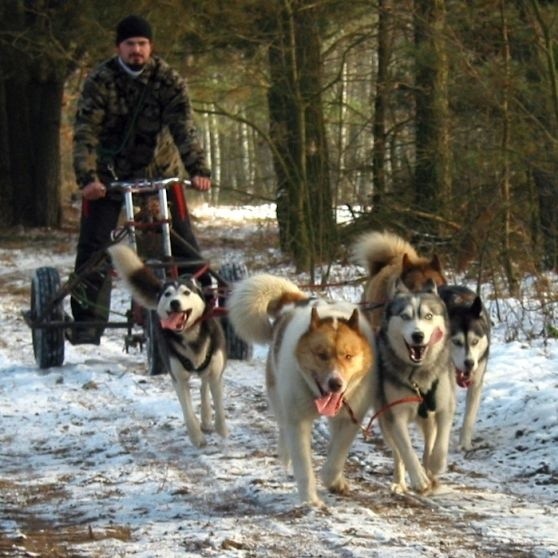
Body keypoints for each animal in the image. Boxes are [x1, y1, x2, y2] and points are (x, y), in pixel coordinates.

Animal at [109, 245, 228, 450]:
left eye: (186, 293)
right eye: (168, 294)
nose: (174, 303)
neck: (190, 336)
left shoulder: (215, 370)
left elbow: (218, 401)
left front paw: (221, 428)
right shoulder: (178, 378)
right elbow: (187, 411)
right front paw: (196, 437)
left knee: (204, 386)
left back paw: (206, 419)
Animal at [226, 274, 376, 510]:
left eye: (348, 356)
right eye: (321, 355)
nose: (335, 384)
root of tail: (299, 299)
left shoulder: (351, 417)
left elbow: (337, 455)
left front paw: (333, 479)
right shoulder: (298, 421)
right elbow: (304, 465)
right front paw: (309, 500)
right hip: (278, 397)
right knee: (283, 428)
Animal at [374, 282, 458, 496]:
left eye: (428, 316)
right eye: (405, 316)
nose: (418, 335)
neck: (418, 376)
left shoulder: (445, 407)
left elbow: (441, 443)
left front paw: (435, 465)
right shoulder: (395, 415)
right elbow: (406, 450)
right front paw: (418, 479)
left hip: (428, 420)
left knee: (429, 443)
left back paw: (430, 471)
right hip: (385, 423)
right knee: (397, 453)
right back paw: (400, 481)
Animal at [442, 286, 490, 452]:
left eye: (475, 341)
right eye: (456, 342)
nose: (469, 363)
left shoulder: (476, 382)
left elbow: (469, 416)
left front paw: (464, 444)